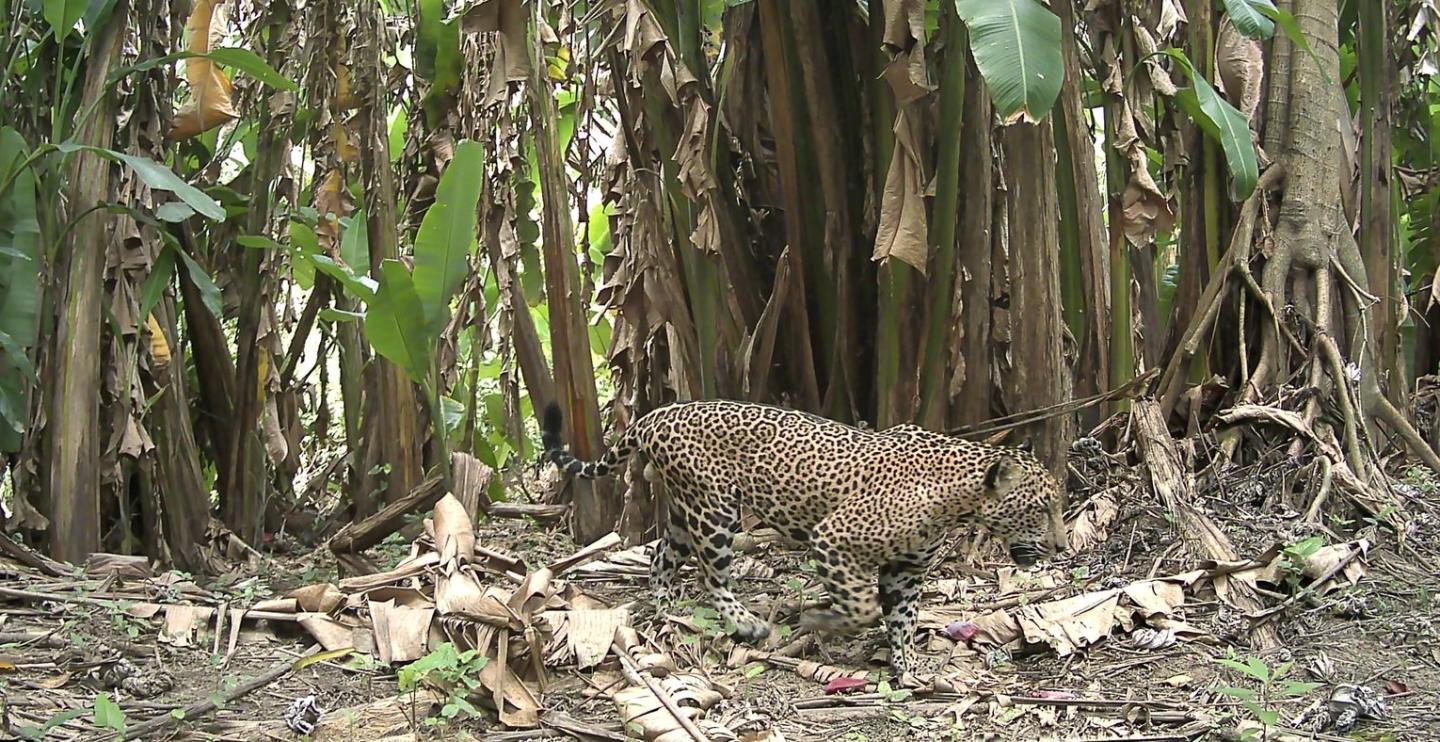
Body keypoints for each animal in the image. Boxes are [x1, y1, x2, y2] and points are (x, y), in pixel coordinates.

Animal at [540, 399, 1068, 677]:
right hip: (715, 512)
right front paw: (819, 621)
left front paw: (907, 669)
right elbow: (863, 608)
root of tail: (657, 413)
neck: (955, 496)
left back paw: (669, 609)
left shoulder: (906, 570)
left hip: (683, 512)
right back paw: (746, 625)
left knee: (661, 559)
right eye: (1041, 509)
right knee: (713, 575)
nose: (1063, 547)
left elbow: (902, 619)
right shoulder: (832, 538)